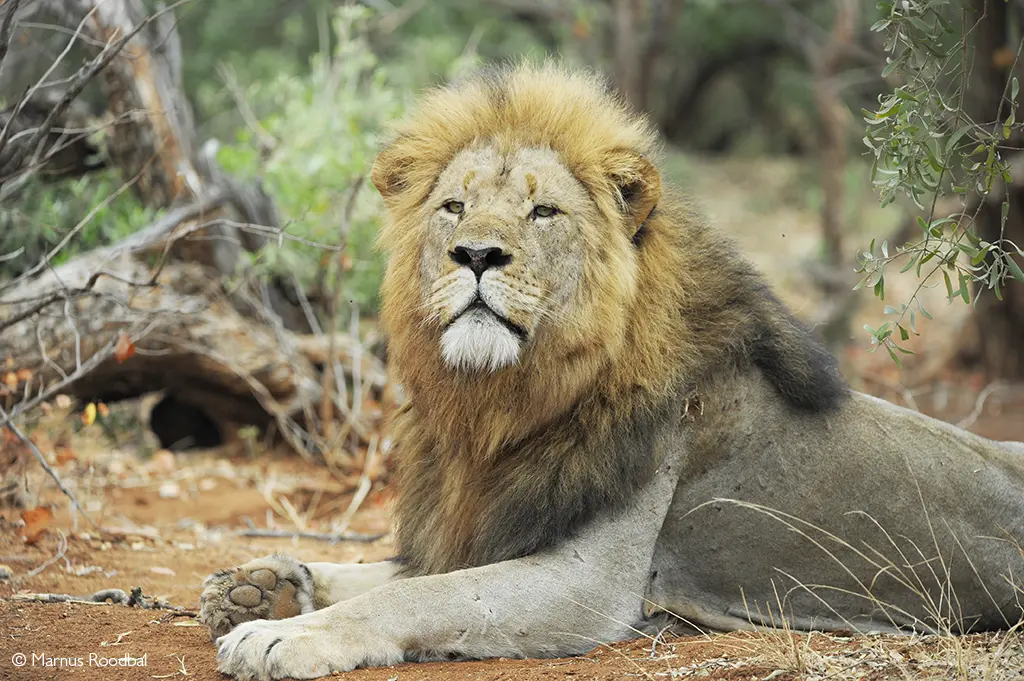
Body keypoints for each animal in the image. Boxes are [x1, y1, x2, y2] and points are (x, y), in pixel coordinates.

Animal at [200, 62, 1024, 680]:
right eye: (454, 207)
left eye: (543, 213)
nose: (476, 254)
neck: (504, 402)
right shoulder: (484, 526)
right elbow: (391, 570)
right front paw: (258, 586)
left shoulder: (588, 583)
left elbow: (415, 598)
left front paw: (282, 635)